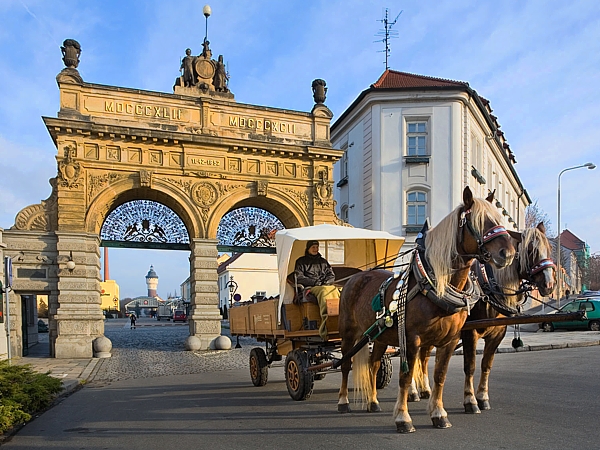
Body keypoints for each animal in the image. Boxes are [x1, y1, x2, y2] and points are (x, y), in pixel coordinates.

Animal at [338, 185, 516, 432]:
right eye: (478, 221)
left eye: (499, 219)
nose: (507, 253)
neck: (435, 285)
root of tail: (354, 277)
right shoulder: (412, 339)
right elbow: (406, 377)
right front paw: (403, 417)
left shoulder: (450, 340)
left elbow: (439, 375)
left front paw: (439, 414)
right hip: (348, 333)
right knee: (346, 364)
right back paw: (343, 401)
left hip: (380, 337)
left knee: (373, 366)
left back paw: (373, 402)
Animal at [462, 221, 556, 412]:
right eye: (530, 250)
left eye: (549, 248)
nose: (549, 284)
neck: (487, 289)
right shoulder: (469, 333)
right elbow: (470, 366)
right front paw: (470, 400)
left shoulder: (497, 334)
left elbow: (486, 365)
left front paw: (482, 397)